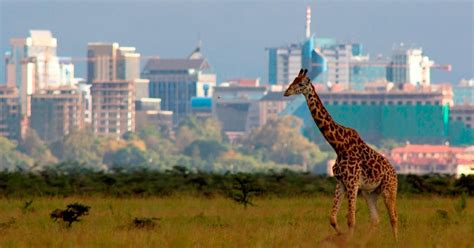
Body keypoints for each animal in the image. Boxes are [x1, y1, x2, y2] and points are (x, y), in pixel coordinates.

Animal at [284, 69, 398, 239]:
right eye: (293, 80)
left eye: (301, 84)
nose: (286, 92)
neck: (338, 146)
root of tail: (395, 173)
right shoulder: (341, 183)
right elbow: (333, 218)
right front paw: (341, 235)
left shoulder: (352, 183)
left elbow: (351, 219)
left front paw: (347, 239)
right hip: (370, 193)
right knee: (375, 219)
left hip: (389, 189)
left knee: (393, 217)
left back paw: (395, 241)